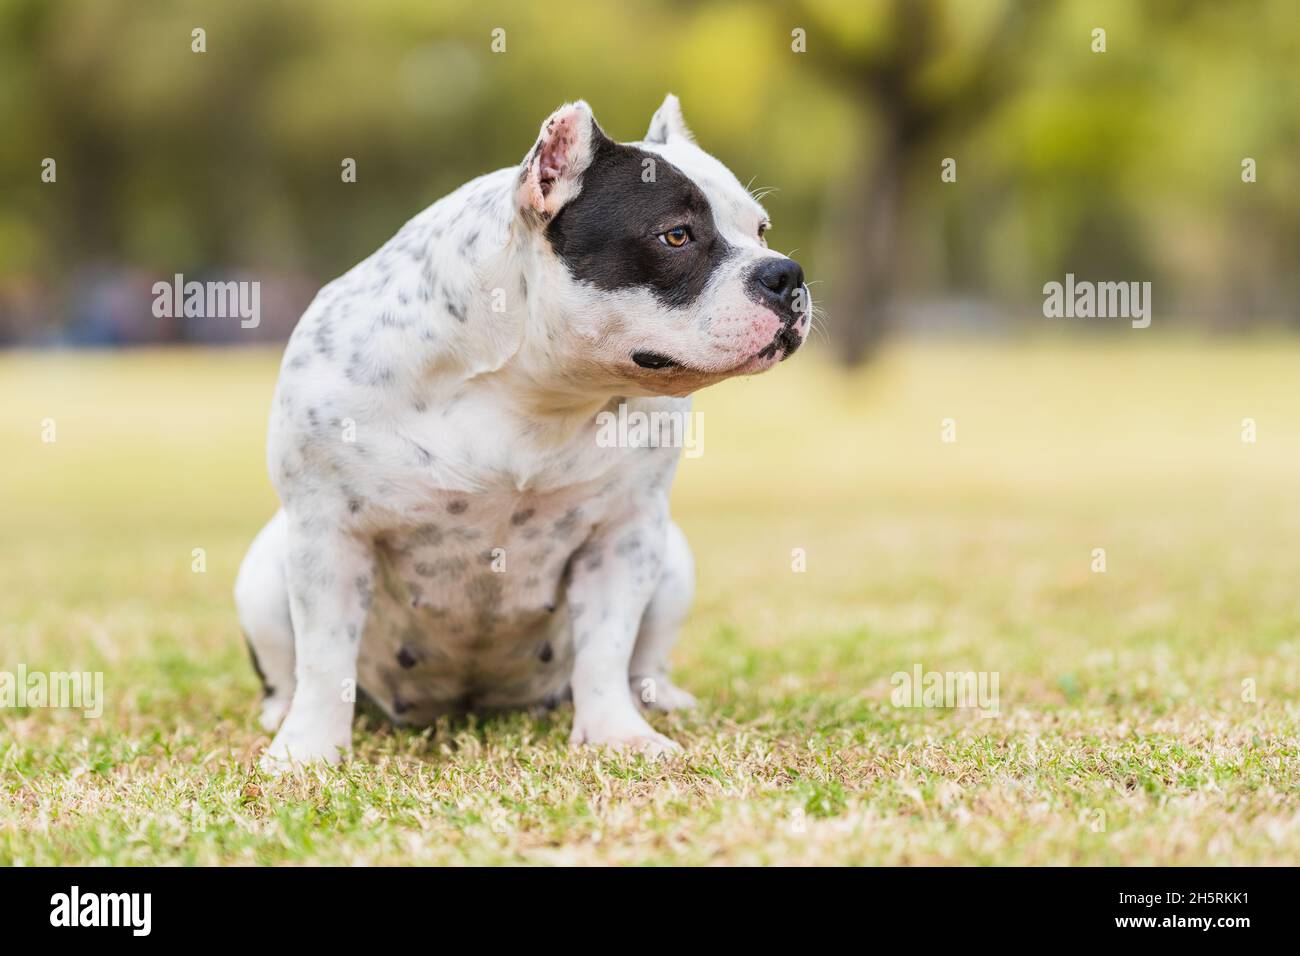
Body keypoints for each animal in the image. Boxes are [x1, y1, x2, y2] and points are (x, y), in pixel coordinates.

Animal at [232, 95, 800, 770]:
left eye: (761, 230)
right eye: (676, 235)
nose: (786, 274)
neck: (535, 390)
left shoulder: (624, 537)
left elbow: (607, 648)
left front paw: (617, 734)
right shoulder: (328, 534)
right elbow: (323, 656)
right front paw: (309, 751)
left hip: (672, 560)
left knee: (643, 659)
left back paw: (659, 699)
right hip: (265, 570)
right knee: (287, 670)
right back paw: (278, 715)